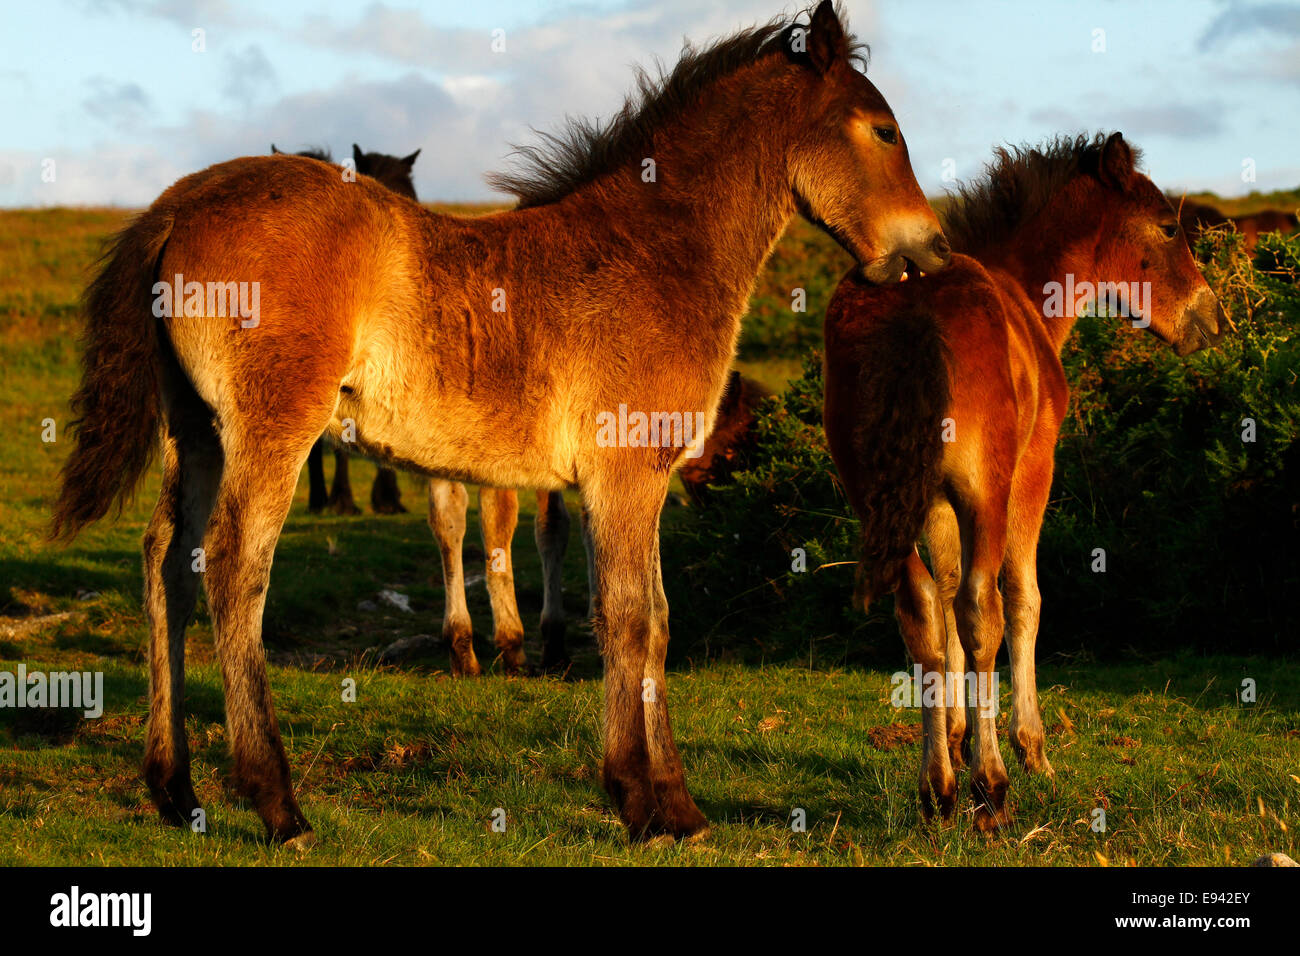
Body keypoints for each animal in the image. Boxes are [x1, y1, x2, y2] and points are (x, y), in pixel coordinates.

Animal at [826, 132, 1222, 832]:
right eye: (1168, 226)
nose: (1214, 319)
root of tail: (913, 312)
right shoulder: (1033, 468)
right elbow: (1021, 598)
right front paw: (1029, 747)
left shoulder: (934, 503)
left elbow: (943, 602)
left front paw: (956, 736)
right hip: (987, 488)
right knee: (982, 607)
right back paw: (991, 787)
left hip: (877, 500)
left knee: (920, 610)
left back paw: (937, 789)